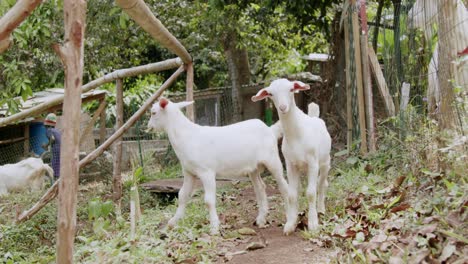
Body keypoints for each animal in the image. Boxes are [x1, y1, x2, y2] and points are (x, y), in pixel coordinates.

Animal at [148, 98, 290, 234]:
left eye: (153, 112)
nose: (149, 127)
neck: (187, 137)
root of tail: (270, 129)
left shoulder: (207, 172)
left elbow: (208, 201)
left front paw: (214, 228)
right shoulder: (189, 172)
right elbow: (182, 195)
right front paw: (171, 223)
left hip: (272, 159)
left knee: (283, 186)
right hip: (253, 168)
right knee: (260, 187)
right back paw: (261, 220)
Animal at [252, 78, 332, 233]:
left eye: (291, 89)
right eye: (271, 94)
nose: (283, 107)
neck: (297, 135)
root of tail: (314, 117)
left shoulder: (313, 163)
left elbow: (311, 193)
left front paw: (313, 224)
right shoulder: (290, 165)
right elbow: (292, 194)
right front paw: (290, 224)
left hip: (325, 162)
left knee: (322, 184)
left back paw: (321, 209)